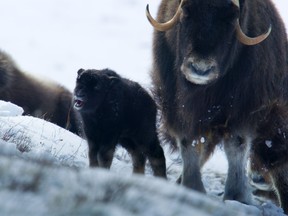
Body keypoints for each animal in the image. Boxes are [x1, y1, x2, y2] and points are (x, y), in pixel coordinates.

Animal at [147, 0, 288, 213]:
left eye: (231, 19)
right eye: (186, 13)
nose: (200, 68)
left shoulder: (244, 109)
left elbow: (236, 145)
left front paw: (237, 196)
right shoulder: (177, 108)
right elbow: (189, 143)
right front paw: (191, 187)